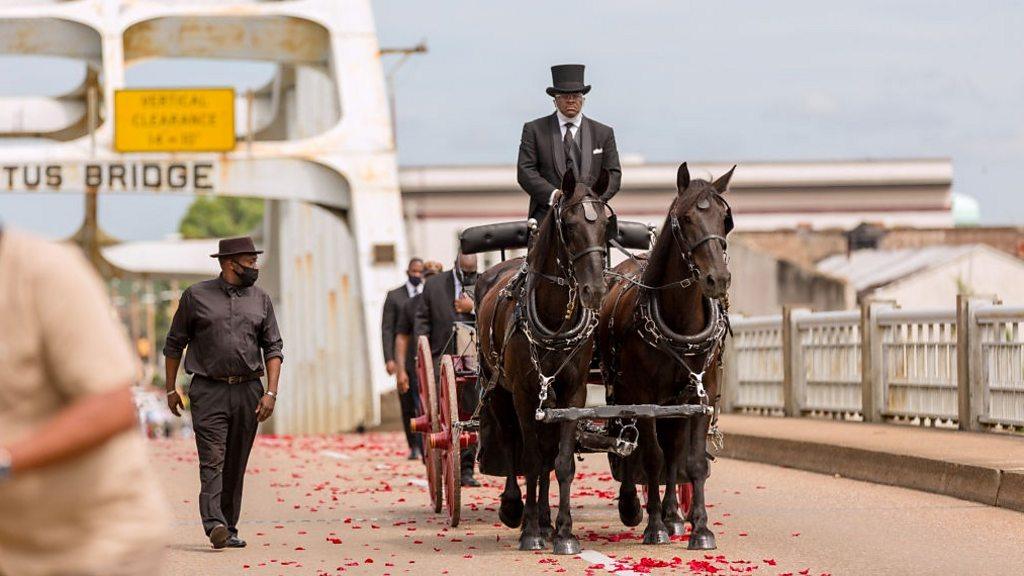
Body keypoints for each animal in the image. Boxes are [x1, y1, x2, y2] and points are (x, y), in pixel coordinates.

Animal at [475, 167, 610, 553]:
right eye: (570, 224)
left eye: (606, 224)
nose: (595, 290)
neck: (554, 316)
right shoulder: (523, 393)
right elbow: (531, 459)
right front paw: (531, 530)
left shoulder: (573, 393)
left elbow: (560, 462)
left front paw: (564, 532)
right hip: (497, 389)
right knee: (511, 443)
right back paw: (517, 511)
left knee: (546, 453)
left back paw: (547, 522)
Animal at [598, 161, 733, 545]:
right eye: (686, 218)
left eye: (724, 218)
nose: (718, 279)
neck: (680, 323)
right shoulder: (645, 396)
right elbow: (651, 457)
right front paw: (654, 525)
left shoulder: (700, 394)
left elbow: (692, 461)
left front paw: (699, 528)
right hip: (624, 391)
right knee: (627, 441)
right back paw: (634, 506)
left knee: (673, 449)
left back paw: (674, 515)